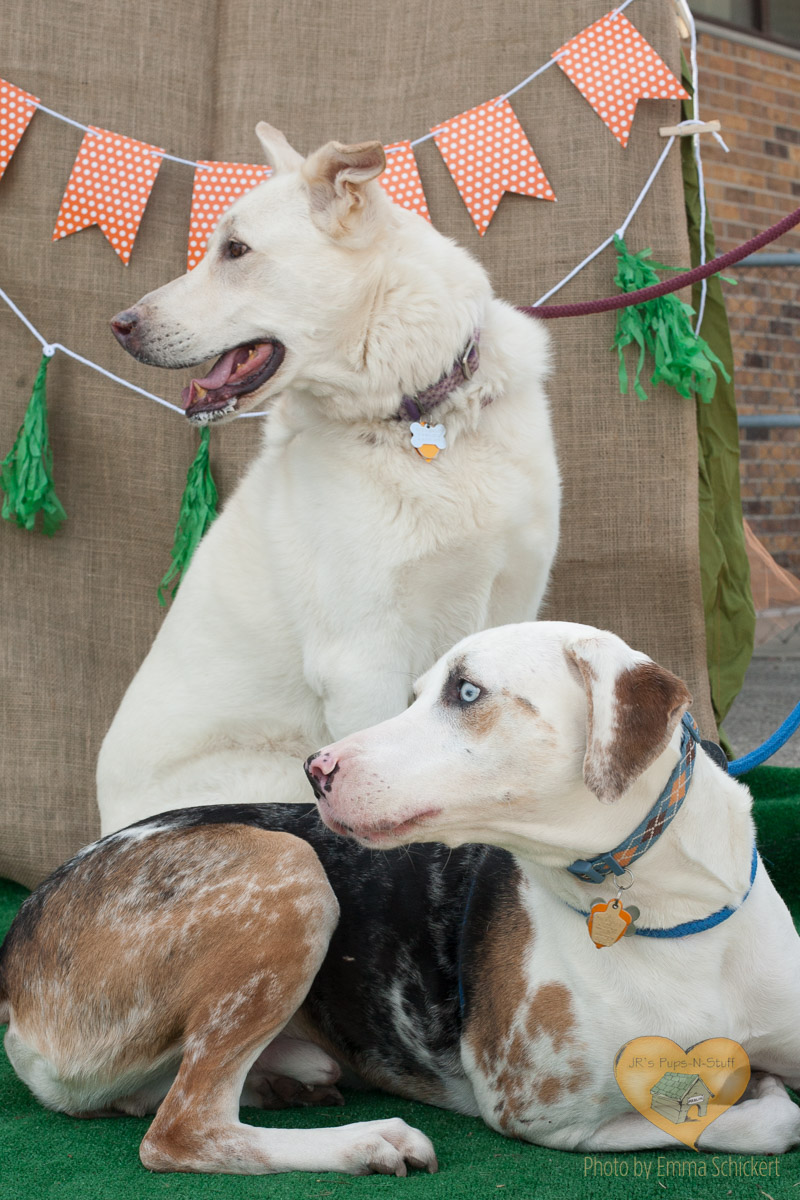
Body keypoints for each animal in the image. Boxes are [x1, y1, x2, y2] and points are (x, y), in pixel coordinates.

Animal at [2, 621, 799, 1177]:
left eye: (467, 691)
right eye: (415, 696)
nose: (315, 768)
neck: (671, 915)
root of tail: (16, 952)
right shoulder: (544, 1113)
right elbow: (762, 1118)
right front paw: (751, 1092)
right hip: (291, 865)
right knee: (180, 1129)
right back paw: (364, 1143)